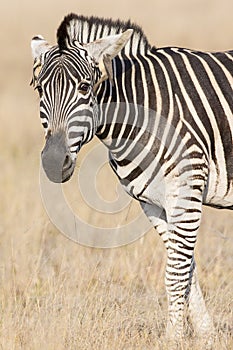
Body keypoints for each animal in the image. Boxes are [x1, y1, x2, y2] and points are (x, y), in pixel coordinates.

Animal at [31, 13, 233, 342]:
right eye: (39, 90)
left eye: (85, 88)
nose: (52, 162)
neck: (141, 113)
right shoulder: (153, 202)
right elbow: (186, 268)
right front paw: (205, 336)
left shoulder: (186, 188)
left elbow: (175, 272)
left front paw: (172, 339)